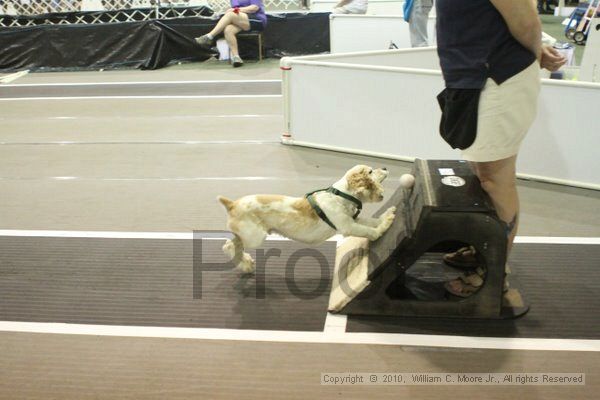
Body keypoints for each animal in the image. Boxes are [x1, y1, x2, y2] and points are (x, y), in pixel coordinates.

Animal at [218, 164, 396, 274]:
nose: (386, 167)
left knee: (232, 245)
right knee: (229, 246)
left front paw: (387, 215)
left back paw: (246, 264)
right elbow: (369, 231)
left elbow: (371, 222)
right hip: (255, 237)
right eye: (370, 171)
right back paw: (245, 264)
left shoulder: (353, 220)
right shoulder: (348, 227)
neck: (342, 195)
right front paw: (384, 227)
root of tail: (232, 204)